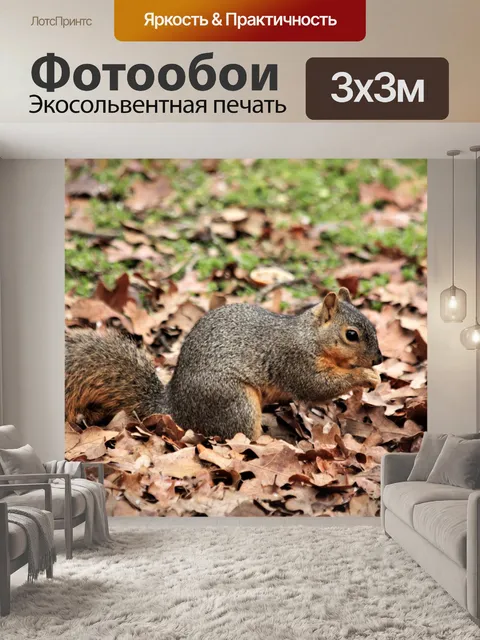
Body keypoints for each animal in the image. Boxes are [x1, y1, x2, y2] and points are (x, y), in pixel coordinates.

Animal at [65, 287, 383, 441]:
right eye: (351, 335)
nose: (379, 359)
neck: (311, 336)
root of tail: (175, 408)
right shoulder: (294, 360)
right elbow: (315, 386)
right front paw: (365, 376)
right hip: (235, 401)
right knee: (239, 435)